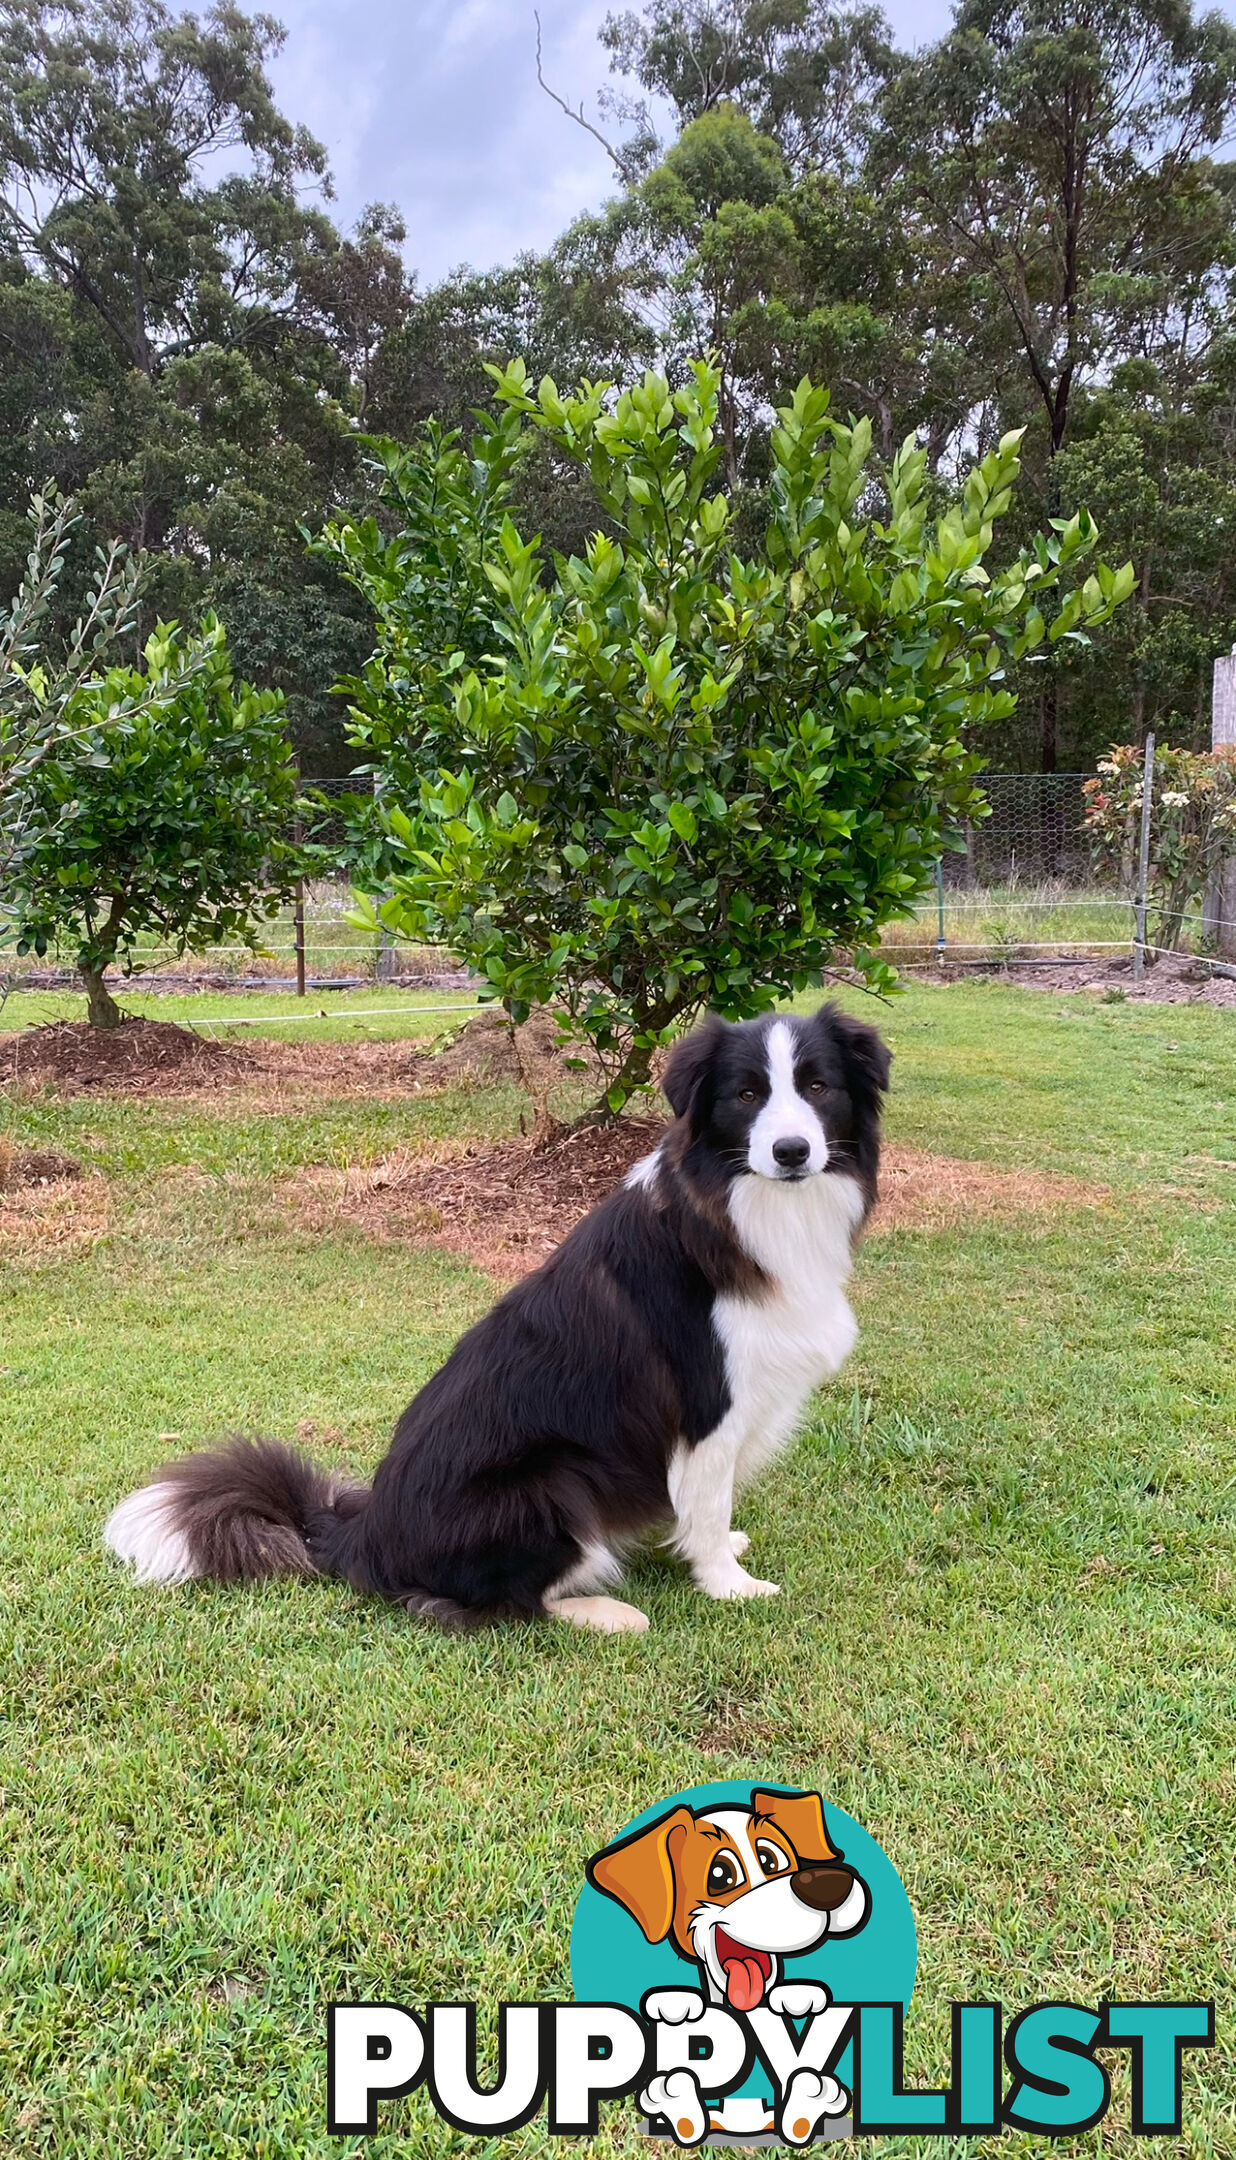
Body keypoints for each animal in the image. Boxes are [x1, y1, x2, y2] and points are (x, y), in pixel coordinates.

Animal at [101, 1002, 881, 1624]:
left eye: (817, 1087)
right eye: (747, 1094)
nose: (791, 1151)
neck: (739, 1207)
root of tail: (362, 1534)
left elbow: (701, 1510)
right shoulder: (708, 1405)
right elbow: (710, 1505)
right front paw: (728, 1584)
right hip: (558, 1481)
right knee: (503, 1603)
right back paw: (606, 1611)